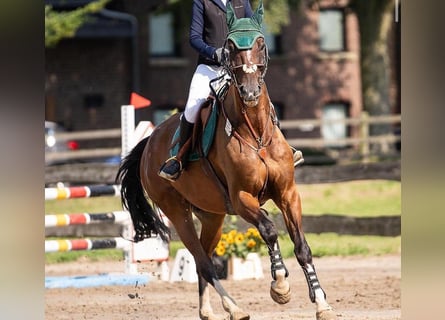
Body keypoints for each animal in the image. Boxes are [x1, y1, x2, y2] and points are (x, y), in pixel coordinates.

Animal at [116, 1, 334, 318]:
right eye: (229, 47)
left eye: (261, 43)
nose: (251, 92)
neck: (256, 134)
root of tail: (149, 143)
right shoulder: (242, 198)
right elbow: (268, 229)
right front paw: (280, 286)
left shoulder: (288, 194)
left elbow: (302, 246)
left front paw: (321, 302)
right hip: (177, 212)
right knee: (203, 262)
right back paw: (235, 307)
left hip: (212, 216)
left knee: (203, 259)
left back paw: (210, 310)